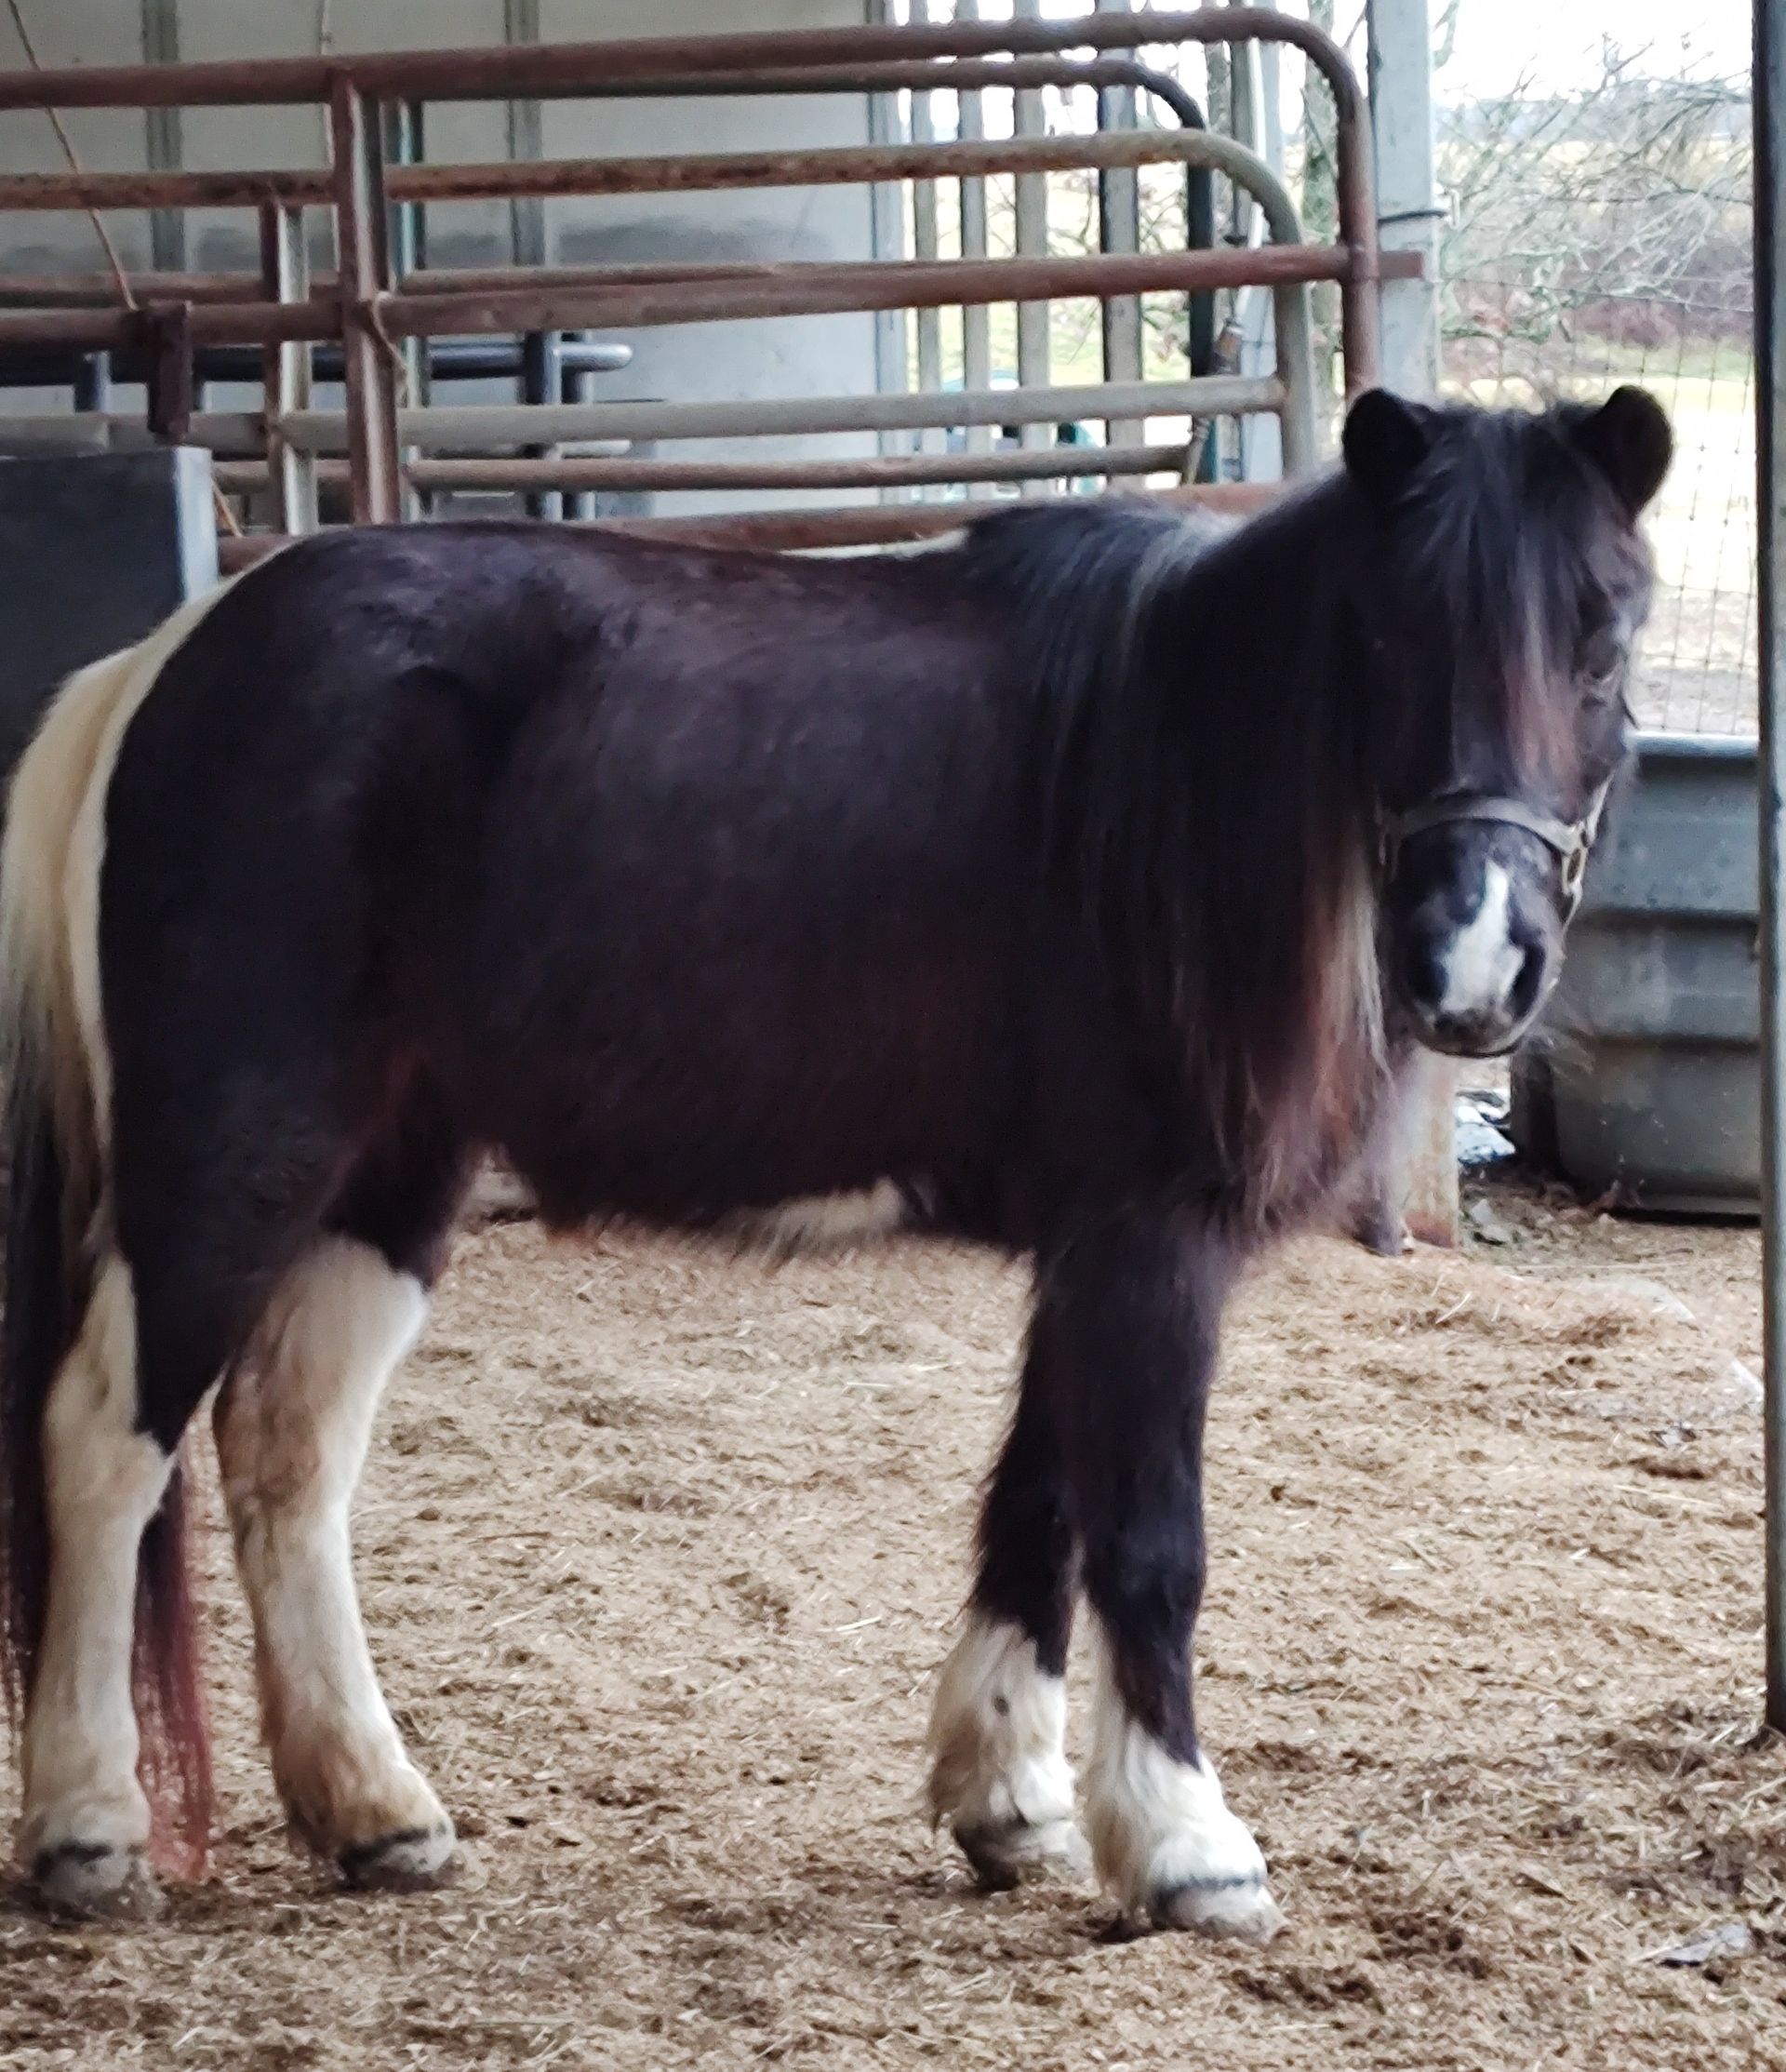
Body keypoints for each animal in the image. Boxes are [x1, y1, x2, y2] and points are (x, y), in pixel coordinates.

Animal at [0, 383, 1670, 1934]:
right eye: (1384, 639)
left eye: (1607, 643)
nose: (1474, 964)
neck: (1164, 779)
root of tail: (161, 663)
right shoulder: (1152, 1237)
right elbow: (1147, 1535)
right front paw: (1187, 1846)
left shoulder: (1086, 1241)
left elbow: (1041, 1499)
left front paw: (1009, 1797)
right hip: (232, 1151)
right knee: (106, 1439)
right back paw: (89, 1828)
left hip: (389, 1174)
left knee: (287, 1449)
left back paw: (372, 1809)